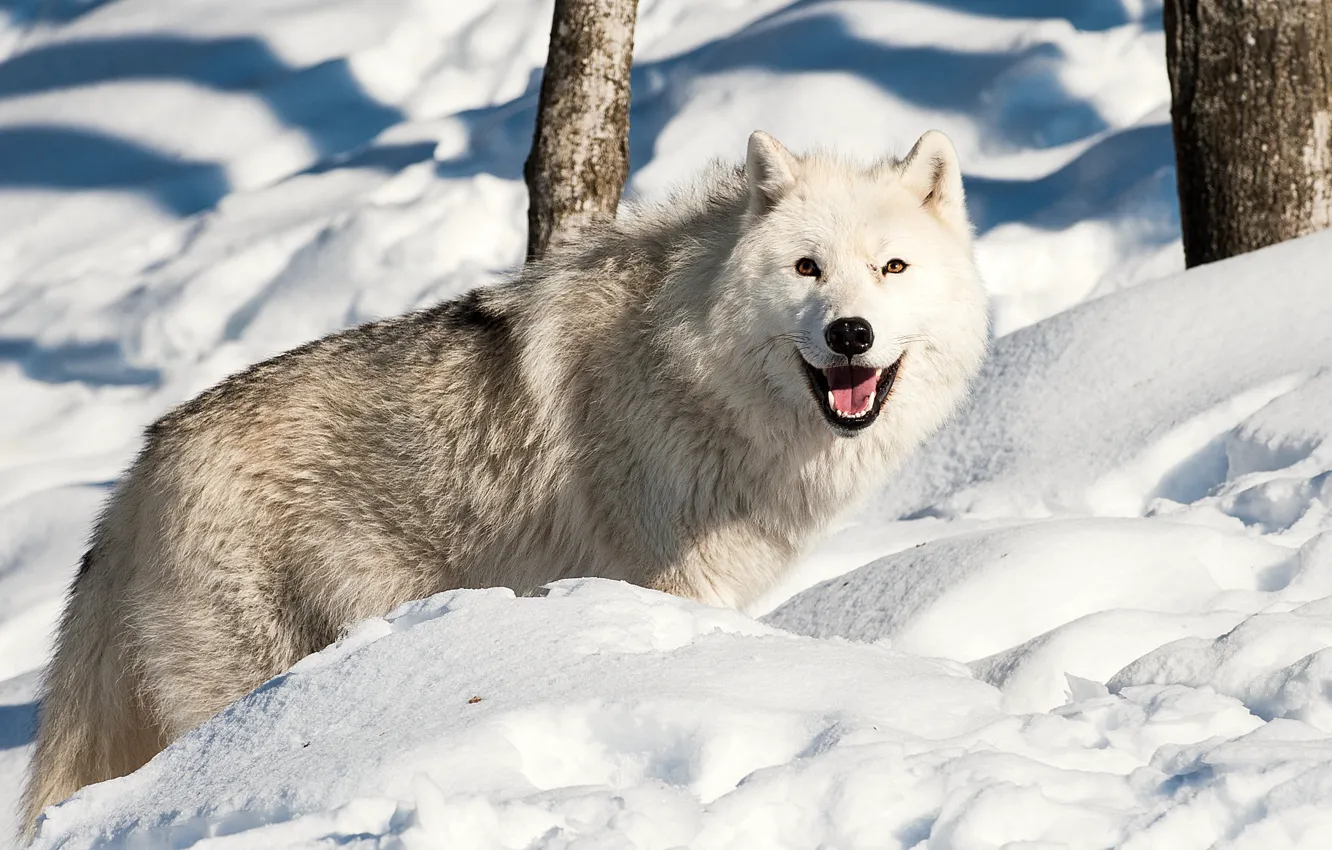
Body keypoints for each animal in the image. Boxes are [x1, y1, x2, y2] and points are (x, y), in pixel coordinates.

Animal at [21, 130, 988, 838]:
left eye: (892, 268)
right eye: (807, 268)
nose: (851, 333)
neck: (693, 369)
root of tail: (139, 469)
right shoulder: (675, 587)